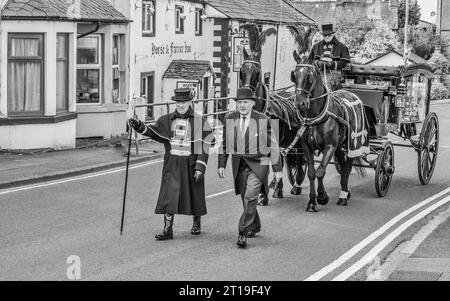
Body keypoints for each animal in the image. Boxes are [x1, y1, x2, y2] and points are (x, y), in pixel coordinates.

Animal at [292, 54, 366, 213]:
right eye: (294, 75)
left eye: (309, 75)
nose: (300, 104)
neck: (315, 115)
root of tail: (350, 92)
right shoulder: (307, 146)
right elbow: (312, 173)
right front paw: (312, 202)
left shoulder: (330, 145)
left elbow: (320, 171)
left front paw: (322, 197)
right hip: (339, 146)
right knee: (343, 165)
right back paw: (346, 191)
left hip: (351, 145)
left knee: (347, 166)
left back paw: (343, 195)